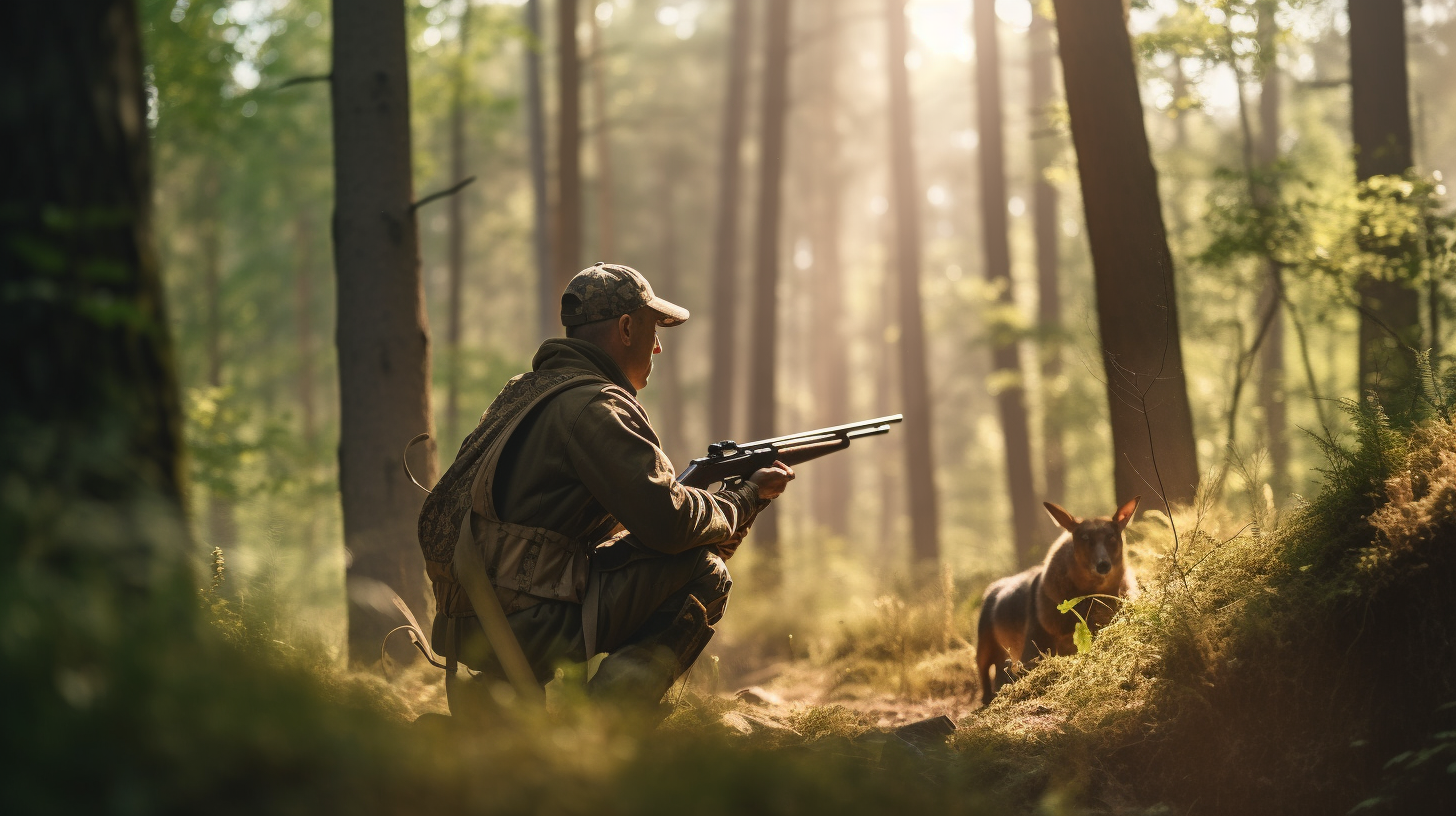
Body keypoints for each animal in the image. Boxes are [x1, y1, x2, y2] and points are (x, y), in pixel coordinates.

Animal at [972, 495, 1141, 705]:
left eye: (1112, 536)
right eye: (1083, 538)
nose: (1103, 564)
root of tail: (991, 590)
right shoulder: (1033, 647)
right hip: (985, 641)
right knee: (983, 669)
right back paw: (987, 698)